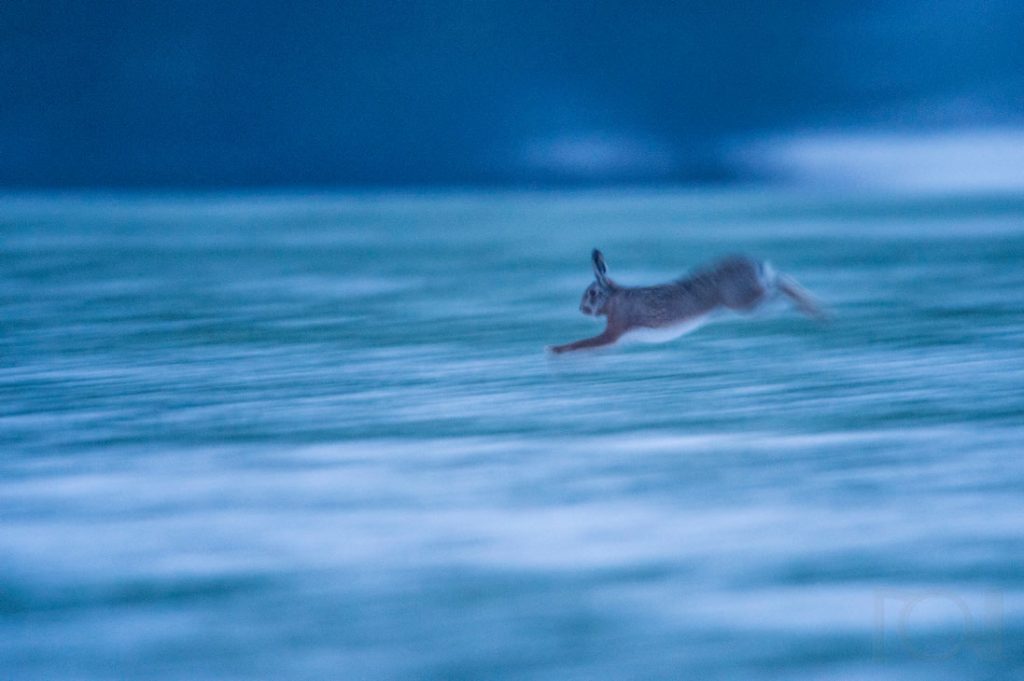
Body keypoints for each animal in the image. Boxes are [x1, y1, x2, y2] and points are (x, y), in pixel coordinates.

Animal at [548, 249, 824, 354]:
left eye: (592, 293)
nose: (581, 309)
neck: (614, 298)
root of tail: (756, 266)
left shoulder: (614, 331)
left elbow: (584, 343)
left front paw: (554, 351)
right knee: (781, 280)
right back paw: (816, 309)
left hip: (744, 302)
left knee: (777, 288)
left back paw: (810, 309)